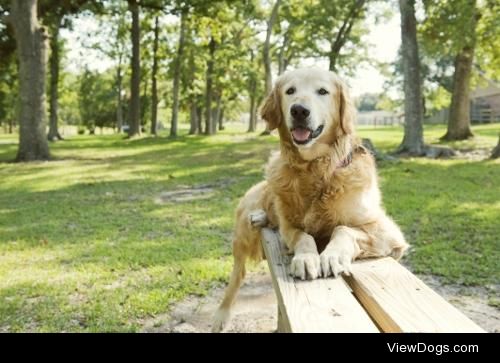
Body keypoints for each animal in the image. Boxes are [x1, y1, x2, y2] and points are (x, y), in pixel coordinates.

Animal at [213, 67, 408, 332]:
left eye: (323, 91)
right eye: (290, 91)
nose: (299, 110)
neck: (315, 169)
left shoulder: (388, 233)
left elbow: (343, 229)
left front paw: (332, 256)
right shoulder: (288, 228)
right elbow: (303, 237)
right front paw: (306, 259)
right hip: (242, 231)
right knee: (237, 274)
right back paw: (222, 315)